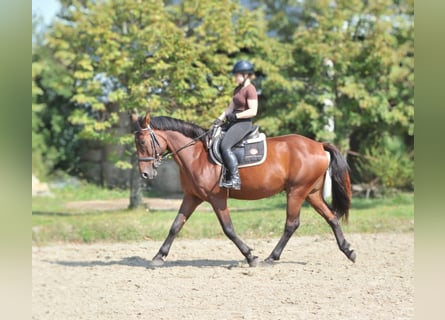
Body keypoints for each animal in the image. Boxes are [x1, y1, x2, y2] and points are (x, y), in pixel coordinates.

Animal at [130, 111, 356, 266]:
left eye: (142, 142)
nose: (145, 174)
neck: (196, 155)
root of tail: (318, 145)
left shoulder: (217, 199)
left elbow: (228, 229)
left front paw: (250, 256)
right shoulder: (192, 197)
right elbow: (176, 225)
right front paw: (159, 255)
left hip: (296, 192)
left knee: (292, 224)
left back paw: (271, 258)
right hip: (311, 193)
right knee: (331, 217)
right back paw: (348, 251)